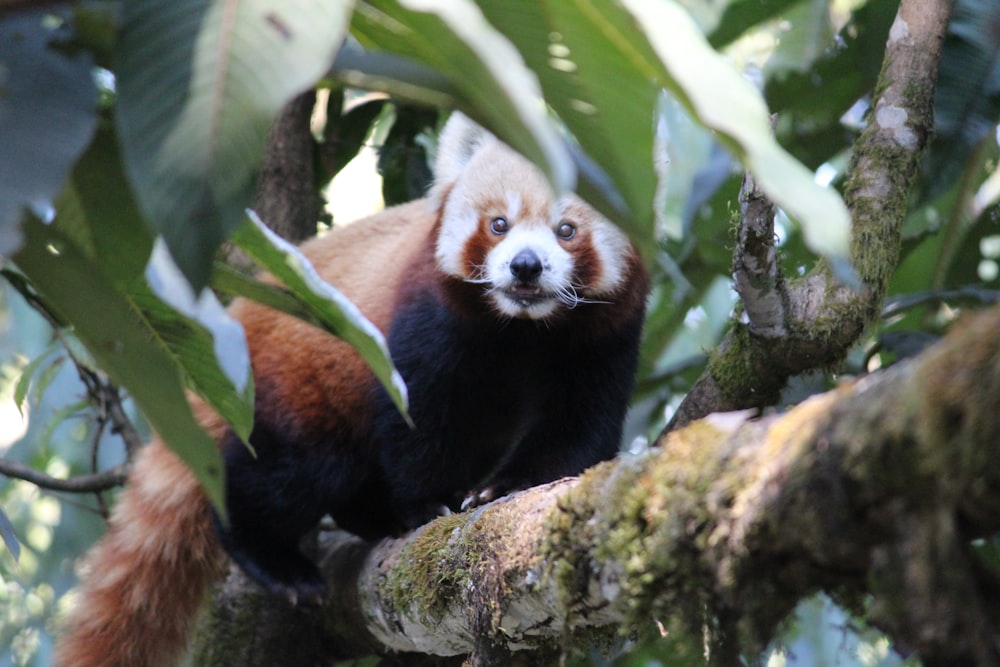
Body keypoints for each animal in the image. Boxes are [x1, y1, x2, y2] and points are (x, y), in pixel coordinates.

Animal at [52, 112, 648, 664]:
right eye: (499, 223)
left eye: (567, 230)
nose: (526, 266)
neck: (522, 329)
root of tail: (235, 322)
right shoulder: (426, 320)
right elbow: (419, 417)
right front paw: (428, 502)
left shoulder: (604, 339)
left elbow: (577, 430)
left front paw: (505, 487)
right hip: (295, 387)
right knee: (289, 471)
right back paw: (273, 554)